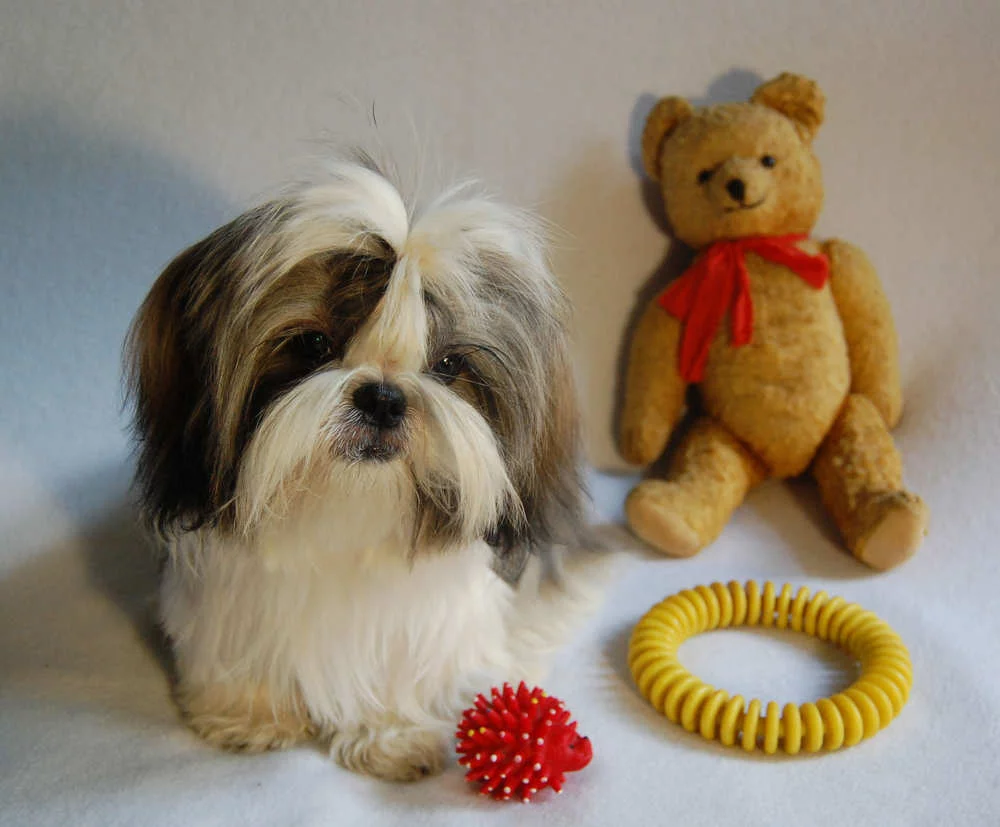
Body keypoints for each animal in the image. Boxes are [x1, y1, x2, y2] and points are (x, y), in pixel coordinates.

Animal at [125, 155, 604, 781]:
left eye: (448, 364)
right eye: (313, 344)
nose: (383, 398)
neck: (349, 515)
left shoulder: (429, 622)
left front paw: (392, 731)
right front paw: (250, 714)